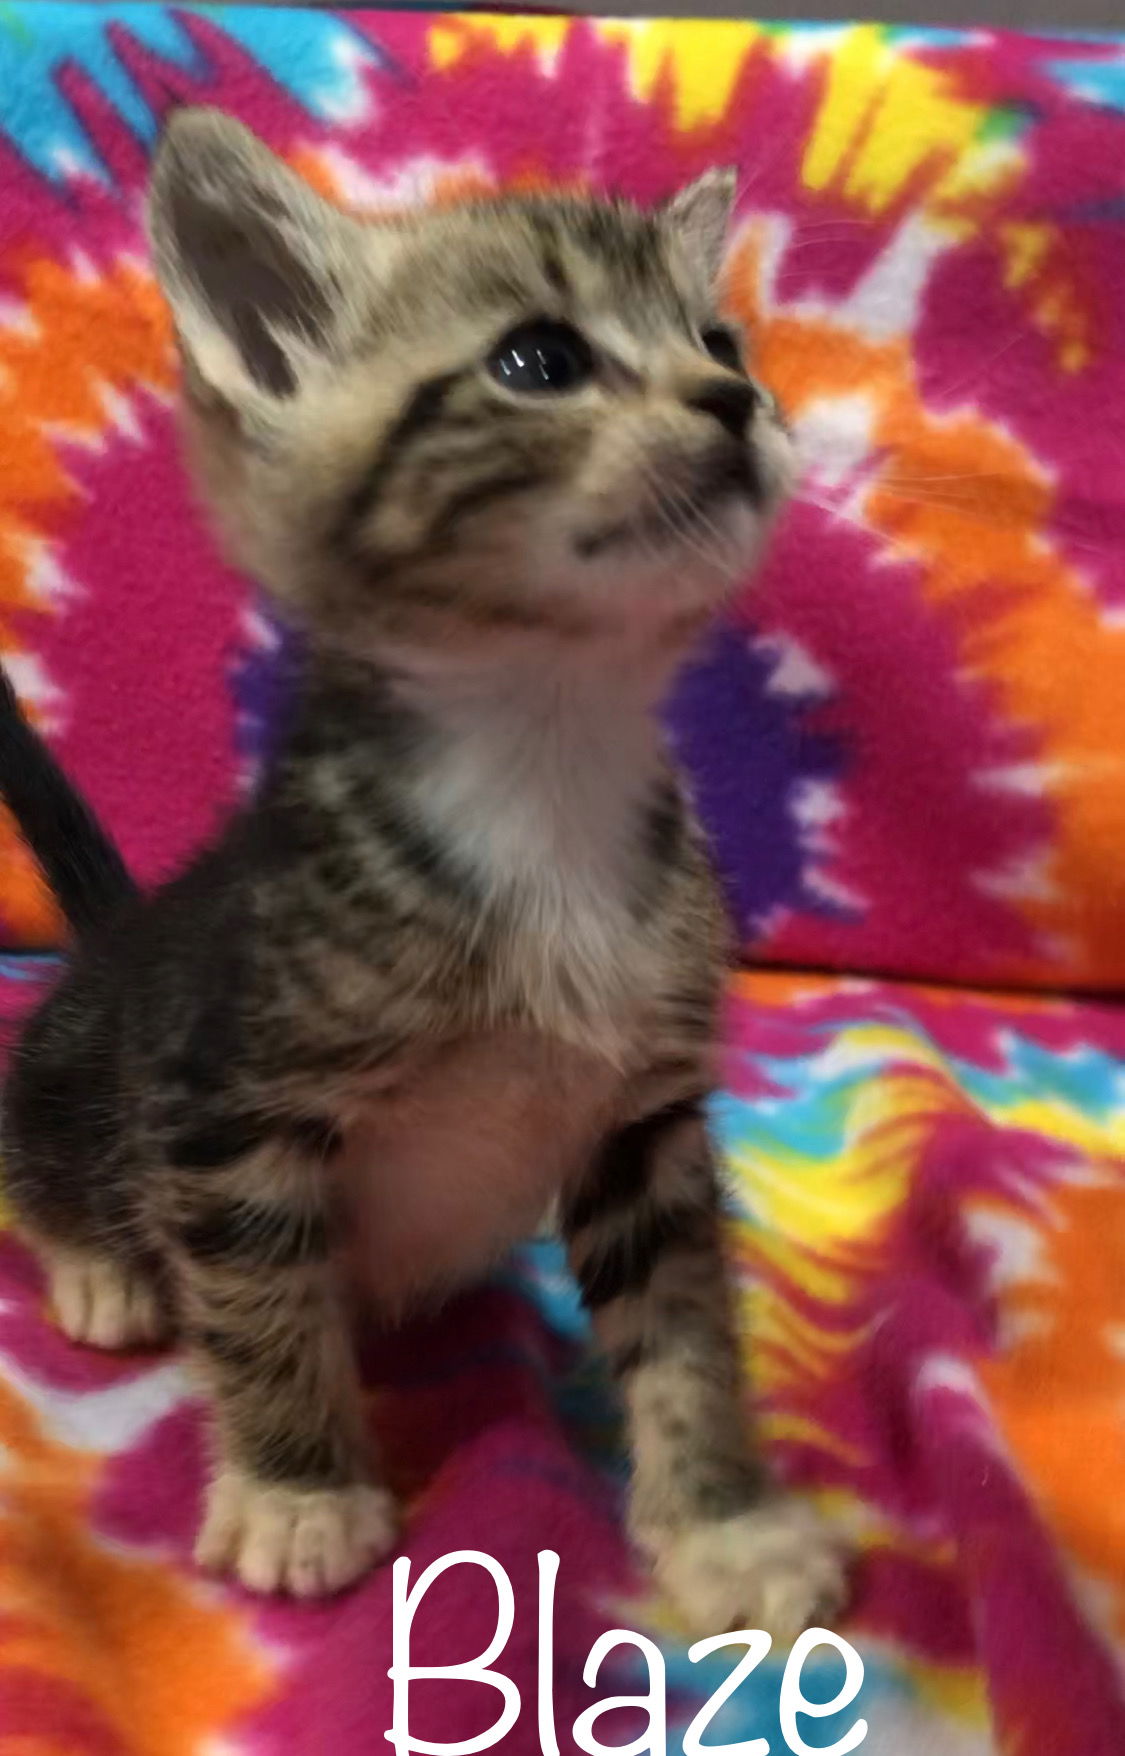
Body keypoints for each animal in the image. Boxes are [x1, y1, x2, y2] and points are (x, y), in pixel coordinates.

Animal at [0, 113, 842, 1629]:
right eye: (540, 362)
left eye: (719, 341)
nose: (736, 402)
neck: (543, 759)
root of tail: (115, 936)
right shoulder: (225, 1105)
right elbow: (260, 1304)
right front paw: (296, 1490)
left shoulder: (645, 1118)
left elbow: (685, 1323)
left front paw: (723, 1523)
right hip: (85, 1062)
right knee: (44, 1158)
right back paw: (99, 1268)